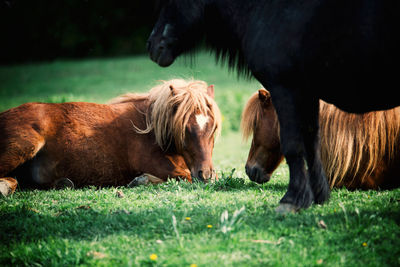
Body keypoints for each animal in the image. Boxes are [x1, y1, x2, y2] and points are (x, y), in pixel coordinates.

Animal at [0, 78, 222, 197]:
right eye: (185, 130)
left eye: (212, 128)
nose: (205, 174)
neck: (151, 130)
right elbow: (183, 177)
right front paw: (141, 180)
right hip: (21, 148)